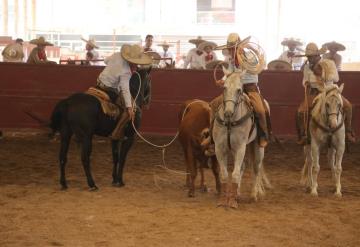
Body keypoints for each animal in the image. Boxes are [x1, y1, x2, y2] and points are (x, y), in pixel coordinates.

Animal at [212, 66, 268, 207]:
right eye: (224, 88)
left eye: (239, 90)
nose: (228, 113)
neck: (229, 122)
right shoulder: (219, 148)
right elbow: (225, 174)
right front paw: (224, 200)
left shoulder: (240, 148)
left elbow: (235, 174)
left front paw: (231, 202)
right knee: (242, 167)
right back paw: (236, 193)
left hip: (258, 147)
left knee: (256, 167)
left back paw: (253, 195)